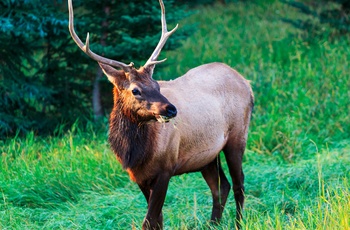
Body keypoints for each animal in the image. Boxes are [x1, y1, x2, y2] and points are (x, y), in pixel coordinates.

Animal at [68, 0, 254, 228]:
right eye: (135, 90)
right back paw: (213, 224)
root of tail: (246, 83)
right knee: (221, 186)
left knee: (239, 183)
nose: (171, 109)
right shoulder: (139, 176)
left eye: (156, 84)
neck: (135, 153)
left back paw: (238, 223)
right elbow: (158, 220)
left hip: (237, 136)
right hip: (207, 155)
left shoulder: (166, 168)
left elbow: (149, 220)